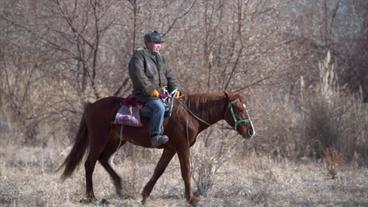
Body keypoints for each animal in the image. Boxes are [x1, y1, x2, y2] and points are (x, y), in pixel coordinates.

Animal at [59, 91, 254, 205]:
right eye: (238, 109)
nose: (251, 132)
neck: (190, 114)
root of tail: (90, 106)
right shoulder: (182, 146)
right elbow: (186, 170)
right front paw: (191, 198)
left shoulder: (170, 148)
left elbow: (159, 170)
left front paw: (144, 195)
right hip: (99, 139)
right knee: (90, 163)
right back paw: (91, 196)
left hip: (116, 141)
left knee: (104, 160)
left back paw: (121, 188)